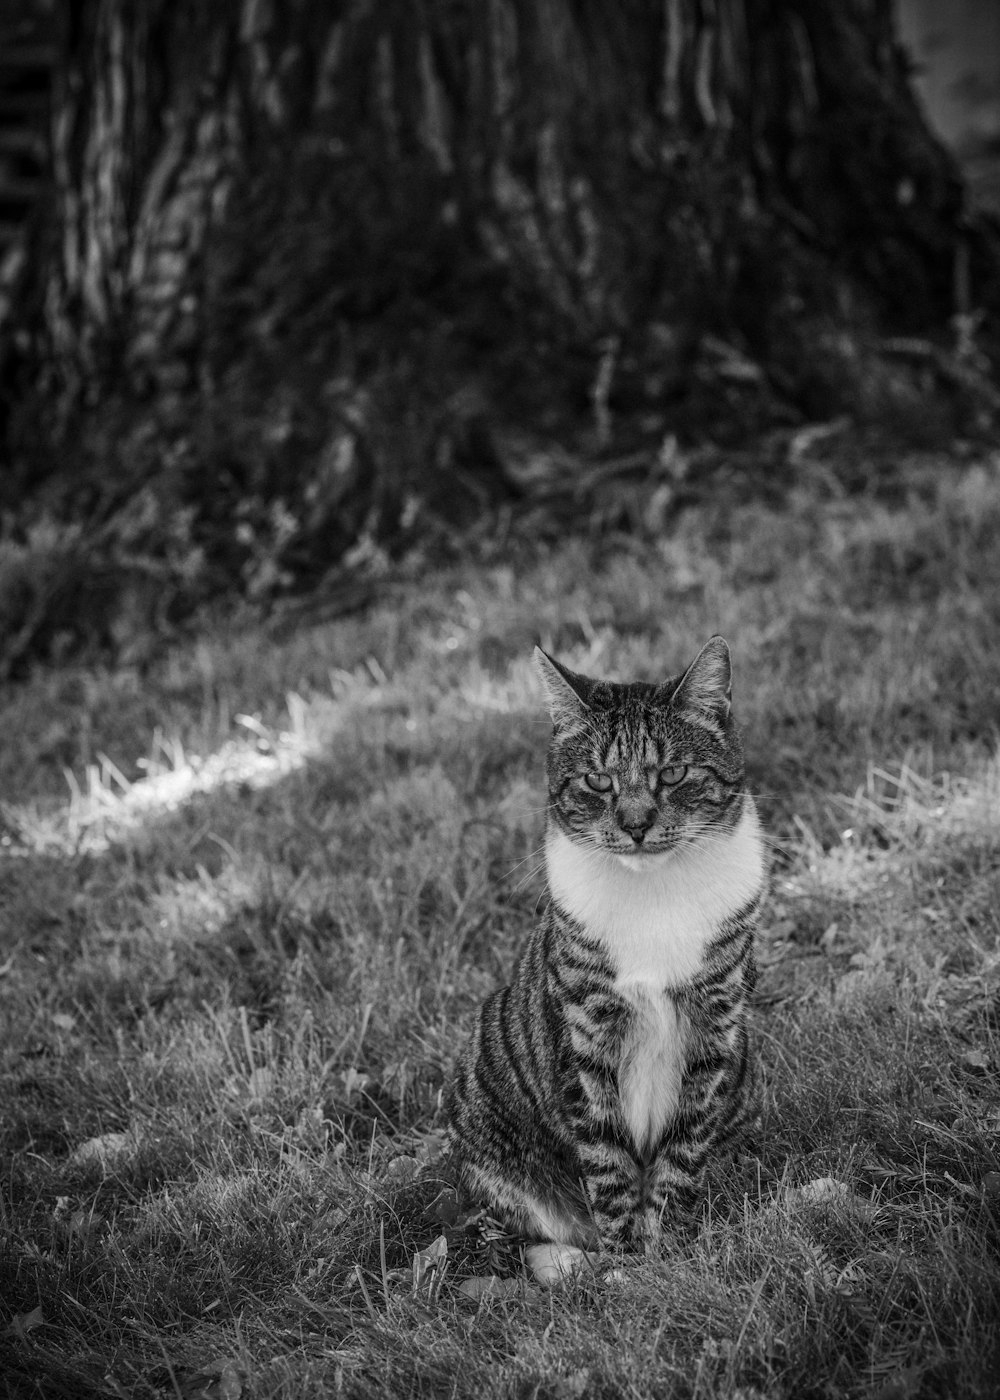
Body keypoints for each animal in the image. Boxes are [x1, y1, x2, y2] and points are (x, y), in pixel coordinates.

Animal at [445, 641, 761, 1254]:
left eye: (673, 772)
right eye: (596, 781)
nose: (636, 824)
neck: (654, 895)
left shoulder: (713, 1033)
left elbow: (682, 1149)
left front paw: (666, 1252)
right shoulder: (583, 1038)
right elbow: (608, 1164)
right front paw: (628, 1261)